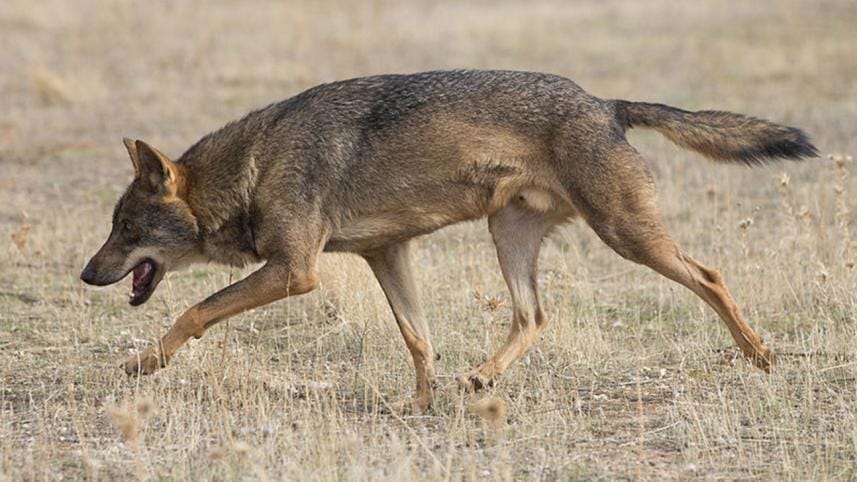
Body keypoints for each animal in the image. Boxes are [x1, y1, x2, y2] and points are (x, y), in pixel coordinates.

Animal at [80, 70, 817, 410]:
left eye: (126, 230)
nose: (85, 275)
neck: (254, 167)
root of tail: (606, 104)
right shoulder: (386, 252)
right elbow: (418, 339)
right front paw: (419, 402)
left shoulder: (294, 272)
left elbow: (194, 310)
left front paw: (144, 363)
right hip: (508, 235)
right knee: (534, 315)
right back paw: (484, 376)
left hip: (626, 235)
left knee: (711, 277)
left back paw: (759, 356)